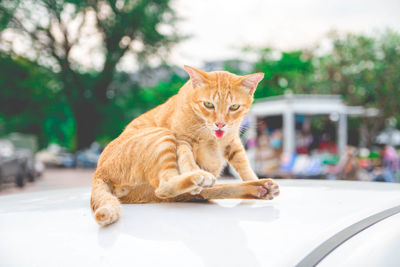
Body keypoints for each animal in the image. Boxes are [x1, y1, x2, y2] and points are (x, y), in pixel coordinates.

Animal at [90, 66, 280, 227]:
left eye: (234, 107)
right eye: (208, 104)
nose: (220, 124)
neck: (211, 136)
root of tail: (98, 172)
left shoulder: (232, 140)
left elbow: (243, 163)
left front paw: (251, 177)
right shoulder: (182, 140)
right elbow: (187, 159)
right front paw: (195, 170)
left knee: (205, 190)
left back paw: (260, 188)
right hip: (162, 136)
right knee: (165, 187)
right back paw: (200, 177)